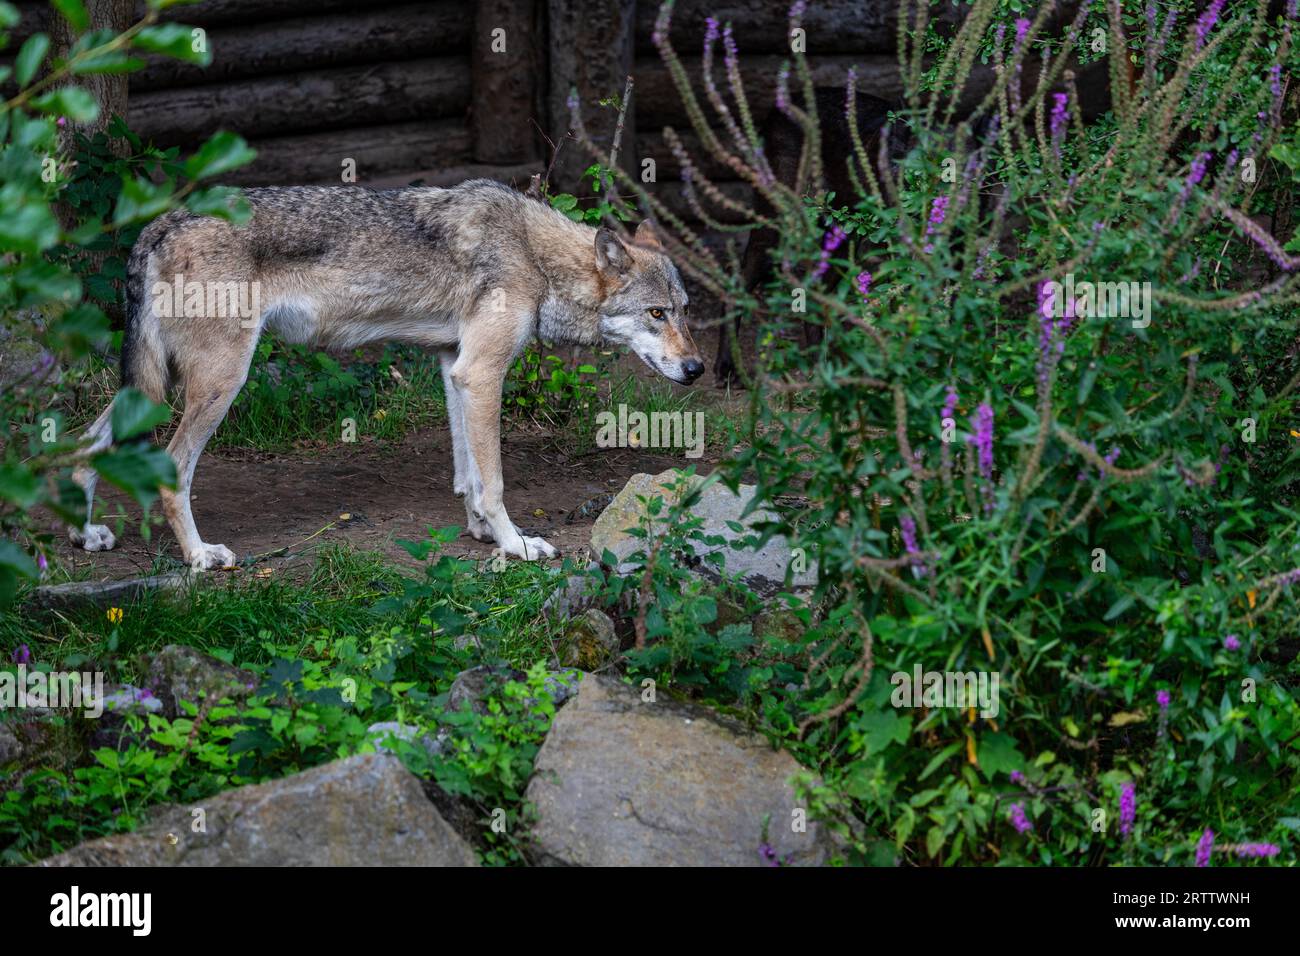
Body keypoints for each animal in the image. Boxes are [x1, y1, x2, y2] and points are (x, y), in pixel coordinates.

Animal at [68, 179, 702, 567]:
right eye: (656, 314)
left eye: (685, 311)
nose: (697, 367)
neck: (532, 253)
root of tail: (161, 223)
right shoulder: (482, 372)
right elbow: (494, 480)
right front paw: (516, 544)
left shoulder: (454, 366)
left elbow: (468, 474)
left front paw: (478, 530)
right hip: (217, 384)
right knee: (172, 467)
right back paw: (200, 557)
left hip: (156, 386)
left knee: (84, 442)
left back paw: (84, 532)